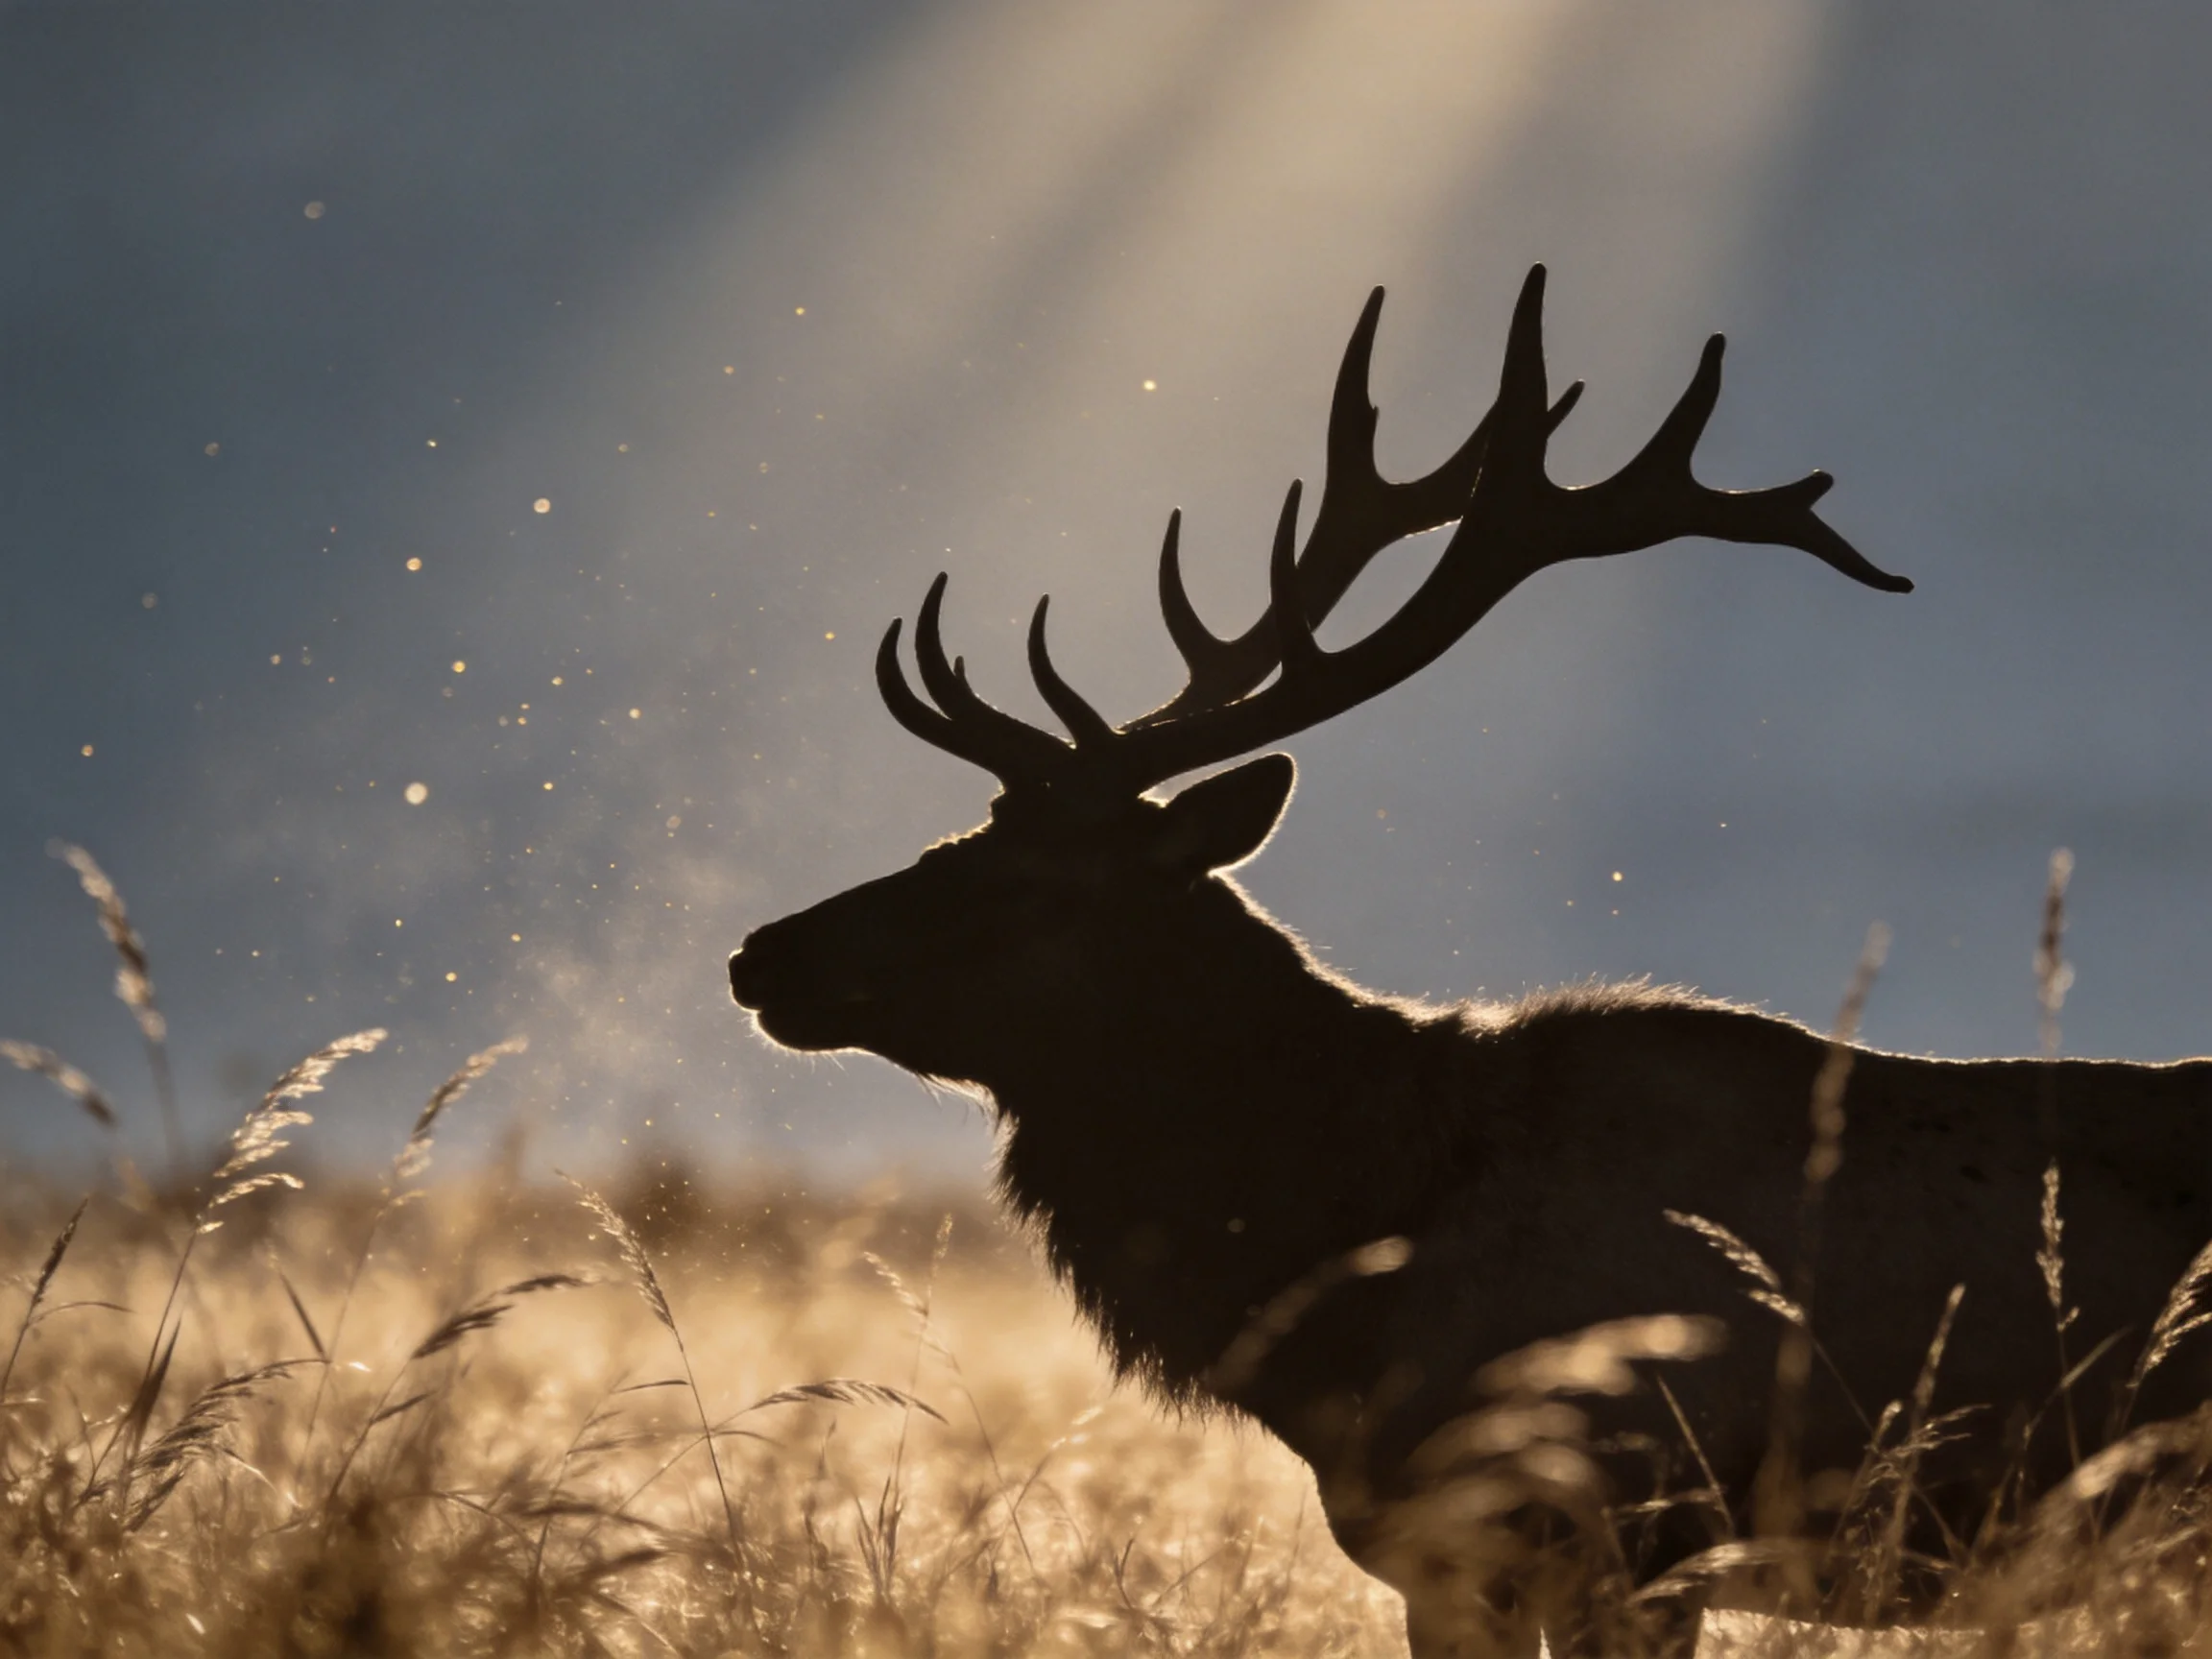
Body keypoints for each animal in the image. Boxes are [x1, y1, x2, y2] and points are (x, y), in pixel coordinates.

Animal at [726, 267, 2212, 1657]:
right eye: (956, 836)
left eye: (1029, 884)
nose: (760, 953)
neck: (1348, 1264)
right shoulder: (1440, 1557)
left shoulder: (1641, 1527)